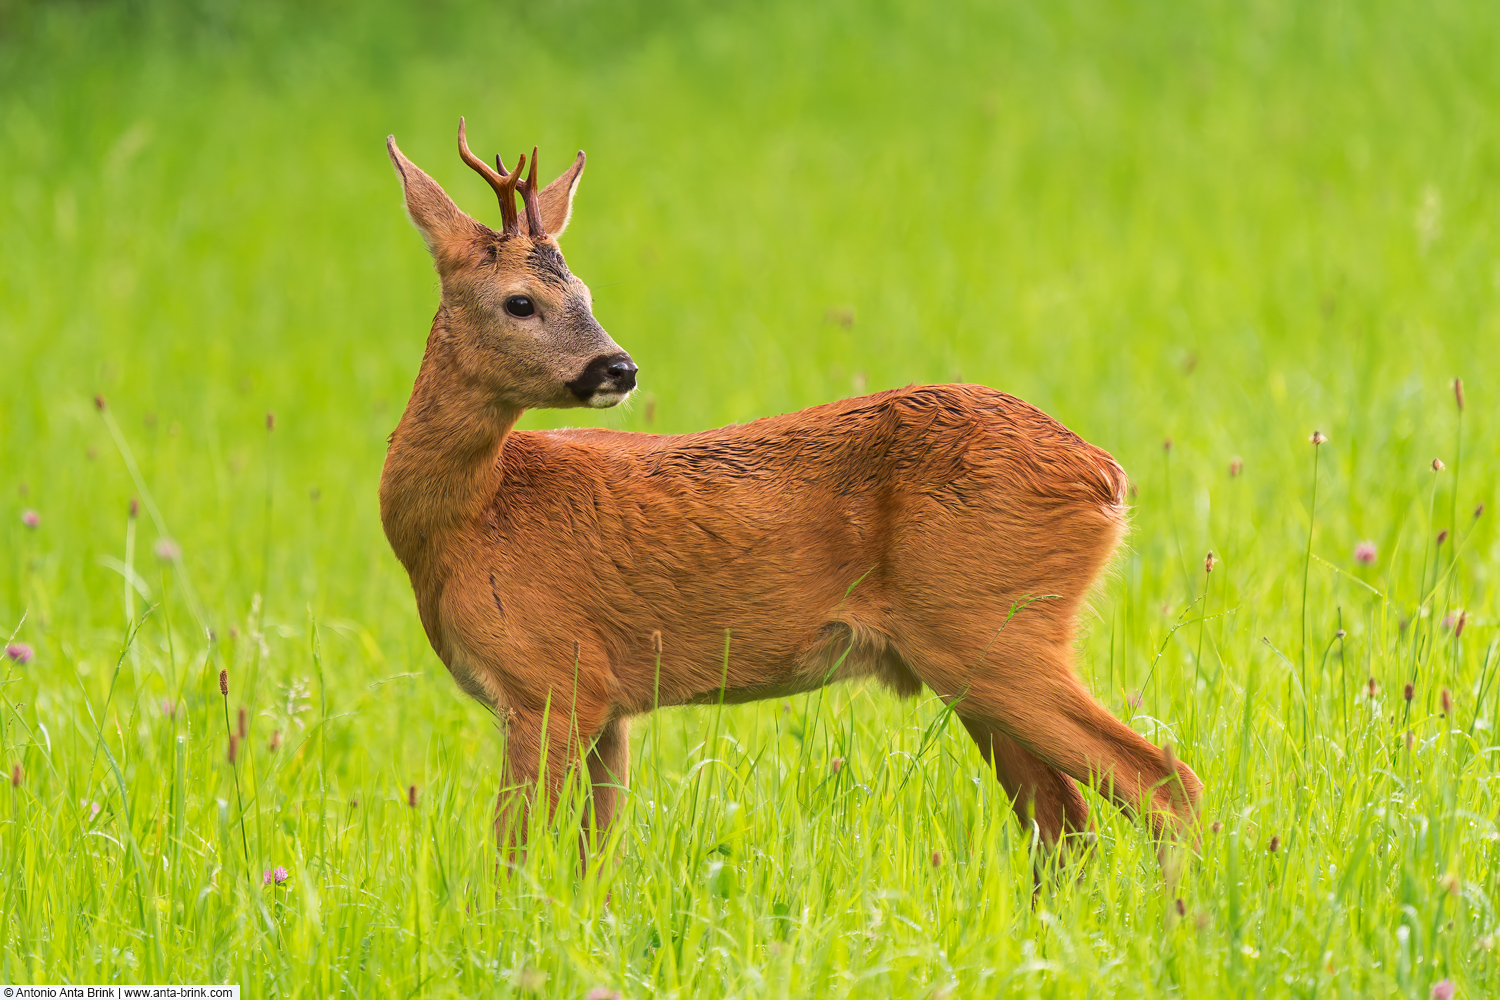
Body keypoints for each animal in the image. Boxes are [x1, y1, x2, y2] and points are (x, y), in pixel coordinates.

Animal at [381, 119, 1200, 869]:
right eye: (522, 302)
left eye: (581, 292)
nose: (618, 368)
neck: (469, 521)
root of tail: (1105, 475)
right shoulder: (610, 703)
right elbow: (593, 862)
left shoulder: (551, 679)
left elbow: (513, 862)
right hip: (979, 653)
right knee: (1064, 823)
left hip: (988, 627)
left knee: (1162, 783)